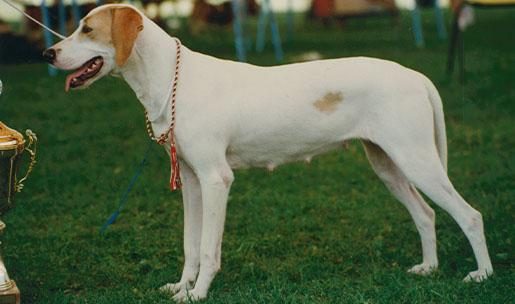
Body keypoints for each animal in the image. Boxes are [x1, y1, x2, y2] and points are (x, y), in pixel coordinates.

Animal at [46, 4, 494, 302]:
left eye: (87, 29)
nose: (49, 54)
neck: (174, 80)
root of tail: (415, 75)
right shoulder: (191, 182)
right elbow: (191, 245)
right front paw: (181, 286)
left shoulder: (216, 180)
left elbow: (207, 248)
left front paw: (198, 293)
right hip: (389, 166)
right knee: (426, 214)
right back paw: (429, 268)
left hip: (417, 161)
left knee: (470, 215)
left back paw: (483, 275)